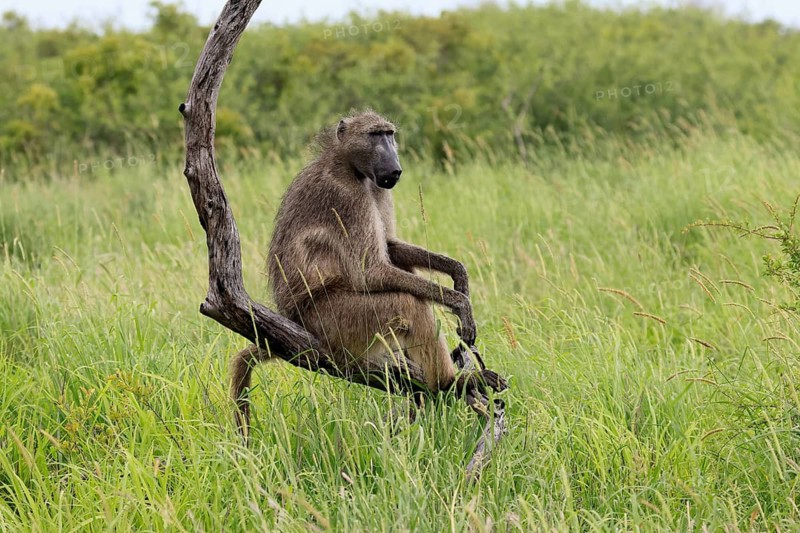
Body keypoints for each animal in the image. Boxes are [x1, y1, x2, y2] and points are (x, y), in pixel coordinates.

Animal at [230, 110, 503, 436]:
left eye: (390, 134)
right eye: (375, 135)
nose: (395, 168)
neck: (348, 165)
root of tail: (294, 320)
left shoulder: (377, 190)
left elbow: (389, 246)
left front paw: (458, 274)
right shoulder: (347, 196)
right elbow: (370, 271)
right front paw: (460, 303)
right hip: (335, 321)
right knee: (408, 303)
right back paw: (450, 381)